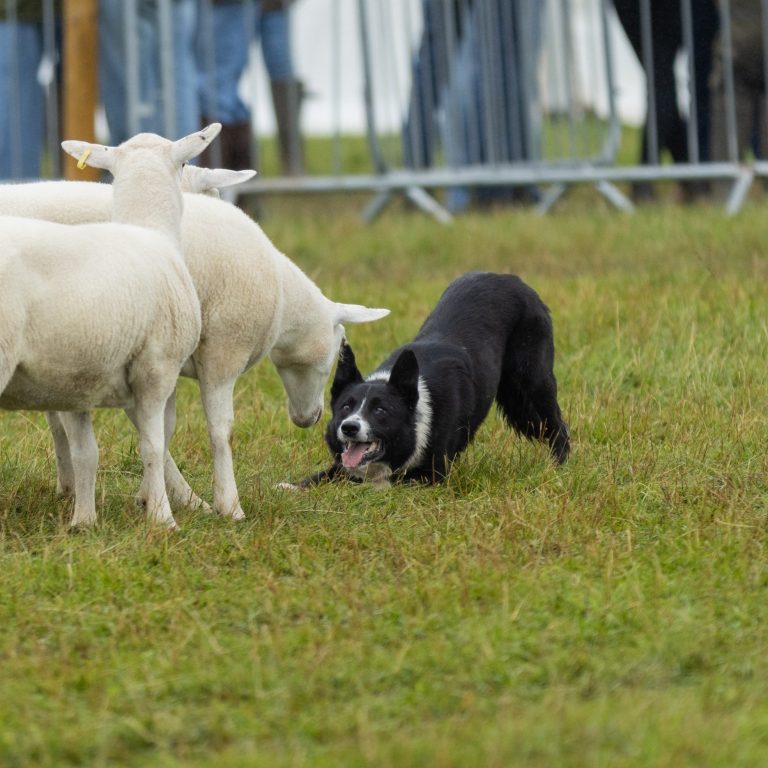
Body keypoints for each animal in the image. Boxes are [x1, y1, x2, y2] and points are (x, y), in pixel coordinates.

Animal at [0, 129, 222, 532]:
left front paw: (83, 522)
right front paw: (162, 517)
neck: (148, 227)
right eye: (184, 162)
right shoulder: (157, 367)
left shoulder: (71, 377)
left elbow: (85, 452)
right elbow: (154, 445)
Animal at [0, 174, 388, 520]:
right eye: (334, 357)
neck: (281, 298)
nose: (311, 419)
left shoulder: (157, 360)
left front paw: (156, 497)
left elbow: (160, 431)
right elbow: (219, 432)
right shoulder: (220, 354)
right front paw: (225, 506)